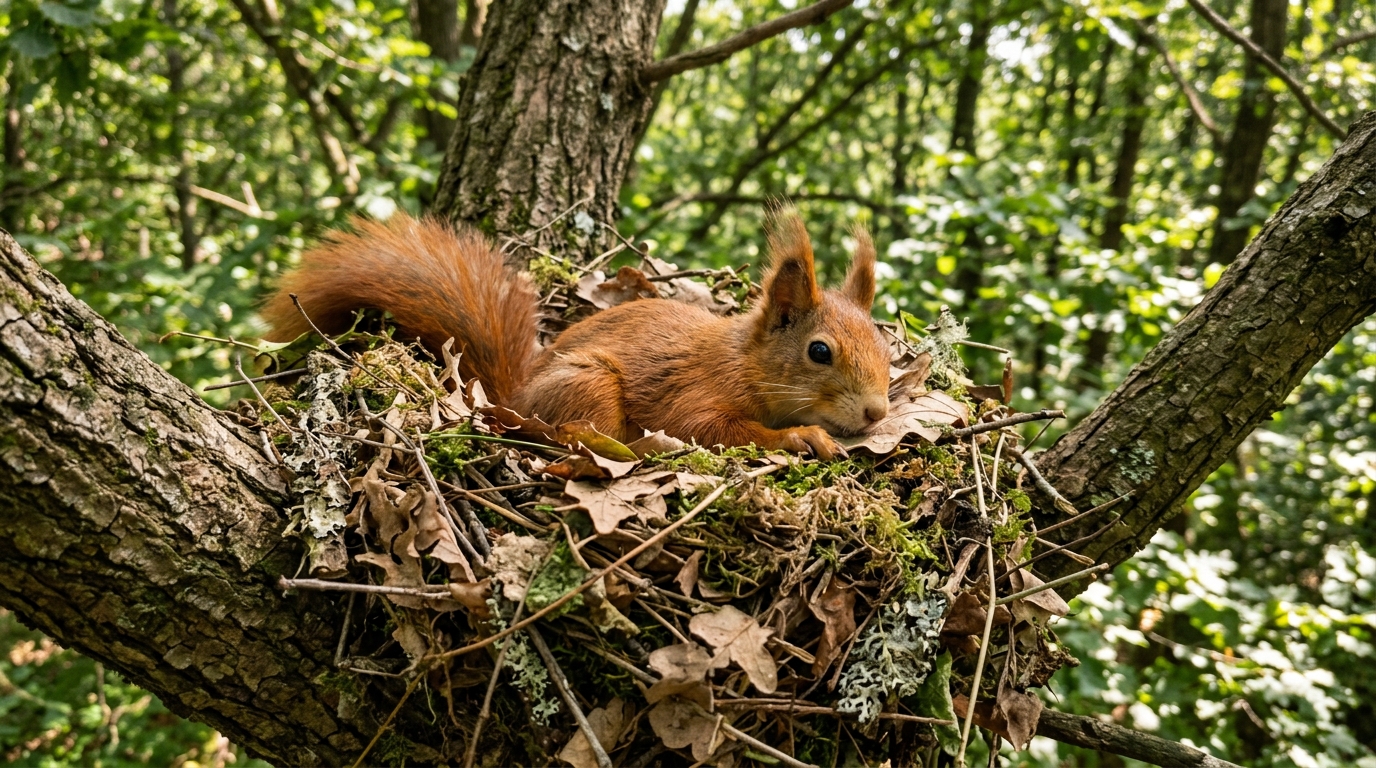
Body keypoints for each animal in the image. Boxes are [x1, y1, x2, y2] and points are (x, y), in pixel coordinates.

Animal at [260, 210, 891, 460]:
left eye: (885, 347)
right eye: (818, 352)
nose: (877, 413)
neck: (748, 362)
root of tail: (511, 396)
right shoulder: (696, 393)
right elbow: (710, 429)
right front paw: (803, 437)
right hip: (587, 387)